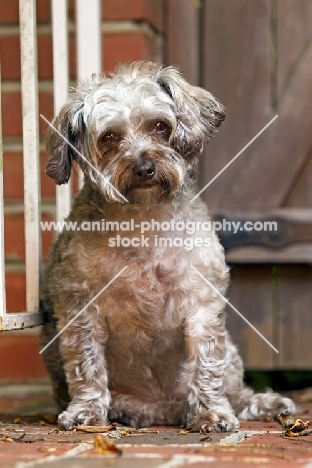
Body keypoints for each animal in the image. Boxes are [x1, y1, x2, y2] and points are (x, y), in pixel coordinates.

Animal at [39, 61, 294, 432]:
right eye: (109, 137)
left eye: (160, 126)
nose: (144, 167)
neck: (144, 221)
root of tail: (165, 407)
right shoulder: (79, 306)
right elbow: (86, 364)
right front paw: (85, 410)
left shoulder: (203, 302)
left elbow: (206, 365)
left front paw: (211, 412)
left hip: (231, 356)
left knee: (236, 391)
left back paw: (263, 403)